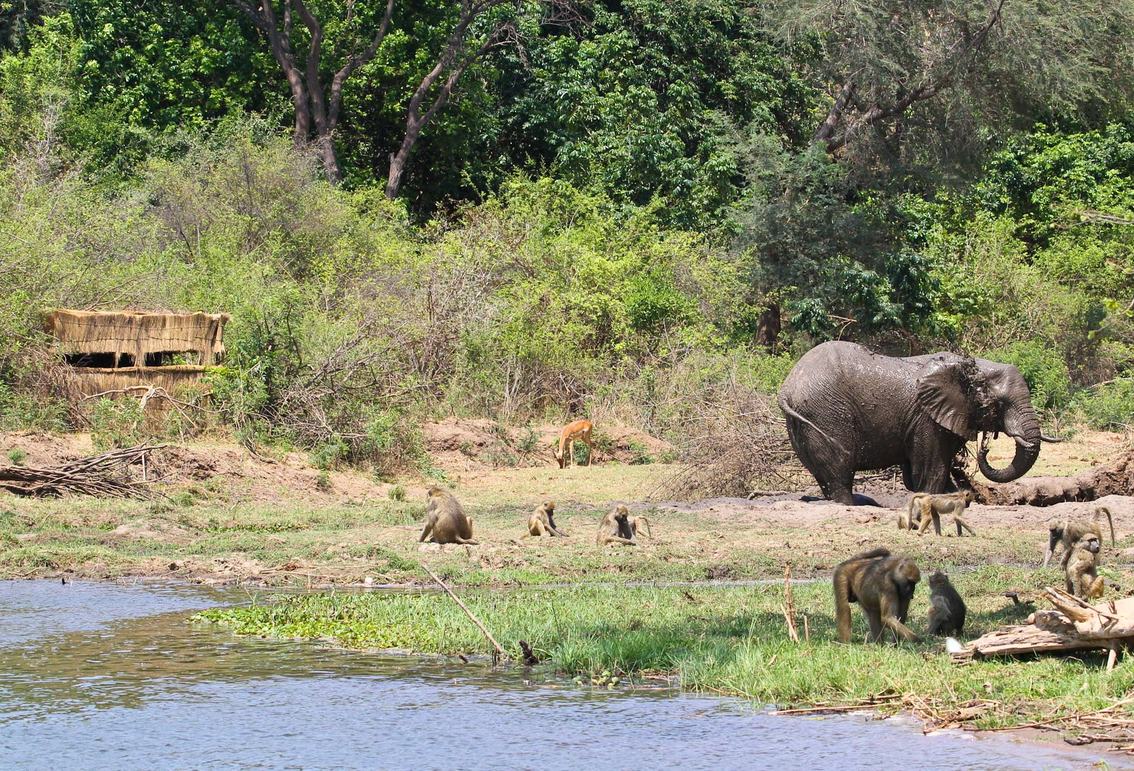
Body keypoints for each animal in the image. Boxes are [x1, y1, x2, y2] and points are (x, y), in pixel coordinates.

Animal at [778, 341, 1056, 505]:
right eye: (998, 404)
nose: (985, 447)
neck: (973, 365)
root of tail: (787, 387)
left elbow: (918, 474)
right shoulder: (927, 418)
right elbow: (930, 472)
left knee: (825, 474)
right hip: (826, 413)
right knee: (840, 471)